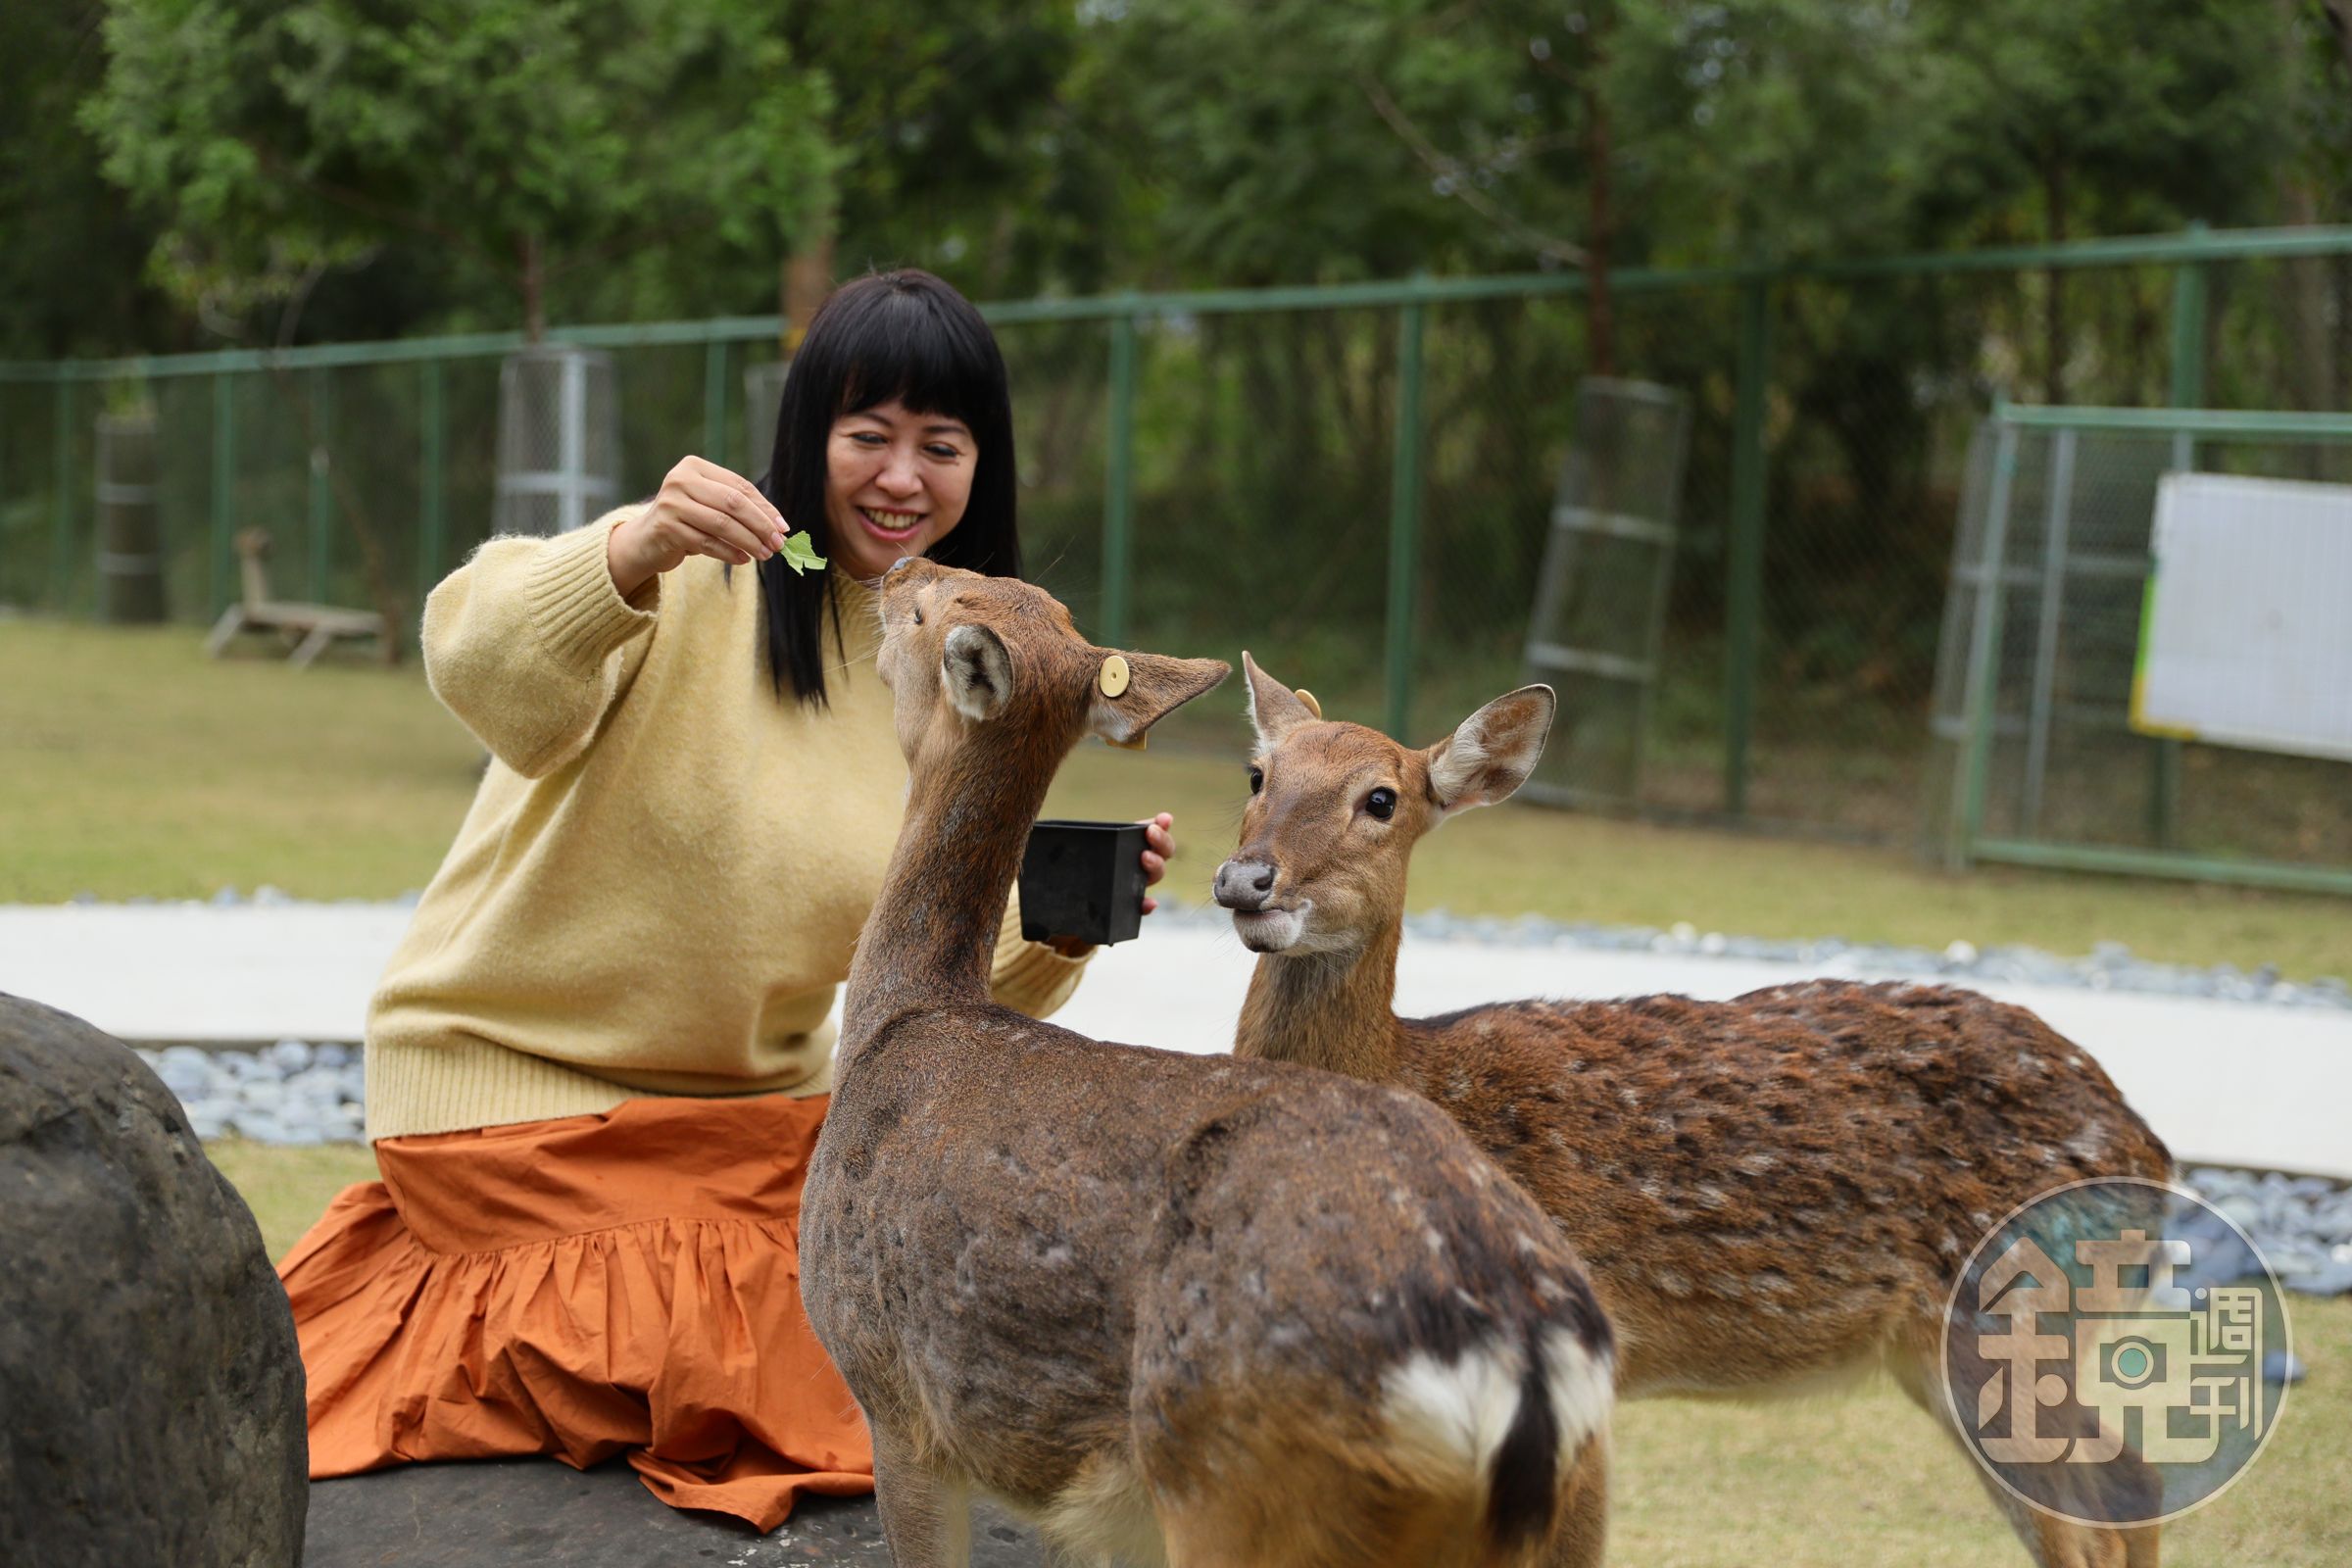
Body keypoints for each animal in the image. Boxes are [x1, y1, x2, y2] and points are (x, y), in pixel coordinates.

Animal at [798, 559, 1617, 1568]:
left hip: (1234, 1485)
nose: (901, 567)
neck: (900, 1020)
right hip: (1586, 1499)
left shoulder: (895, 1400)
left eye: (924, 613)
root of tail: (1522, 1359)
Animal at [1214, 654, 2175, 1568]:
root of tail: (2155, 1158)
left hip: (2009, 1317)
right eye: (1258, 773)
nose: (1245, 879)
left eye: (1381, 799)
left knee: (2105, 1507)